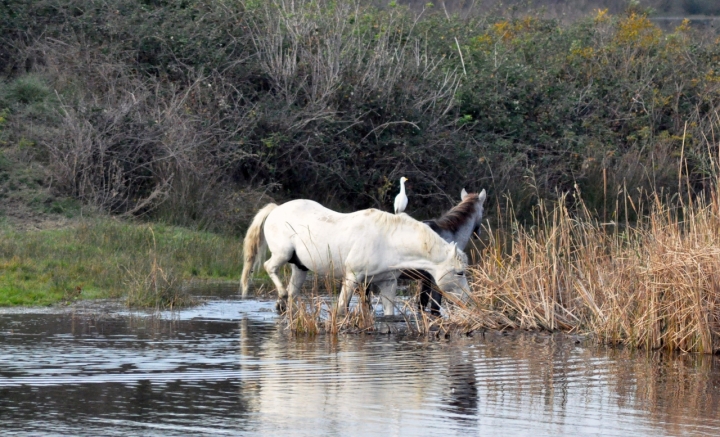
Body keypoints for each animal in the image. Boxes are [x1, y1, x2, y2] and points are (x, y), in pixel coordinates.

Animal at [239, 199, 470, 316]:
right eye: (459, 272)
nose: (468, 298)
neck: (389, 240)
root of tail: (276, 209)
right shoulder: (352, 278)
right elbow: (342, 308)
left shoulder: (388, 283)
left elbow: (389, 314)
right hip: (283, 254)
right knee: (269, 267)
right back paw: (281, 294)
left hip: (300, 267)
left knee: (293, 291)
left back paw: (283, 304)